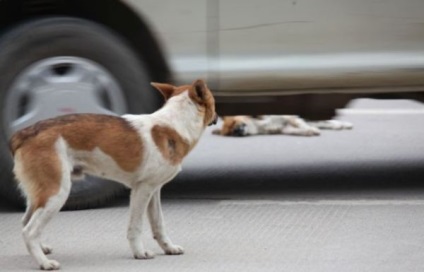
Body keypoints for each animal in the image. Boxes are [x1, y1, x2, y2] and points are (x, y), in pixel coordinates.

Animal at [10, 78, 219, 270]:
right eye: (214, 102)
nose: (218, 116)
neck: (173, 125)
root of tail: (24, 133)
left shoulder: (154, 191)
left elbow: (159, 224)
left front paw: (168, 248)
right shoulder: (141, 191)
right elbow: (136, 227)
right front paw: (139, 252)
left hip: (41, 196)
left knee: (26, 221)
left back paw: (41, 249)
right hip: (56, 193)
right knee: (29, 231)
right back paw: (44, 263)